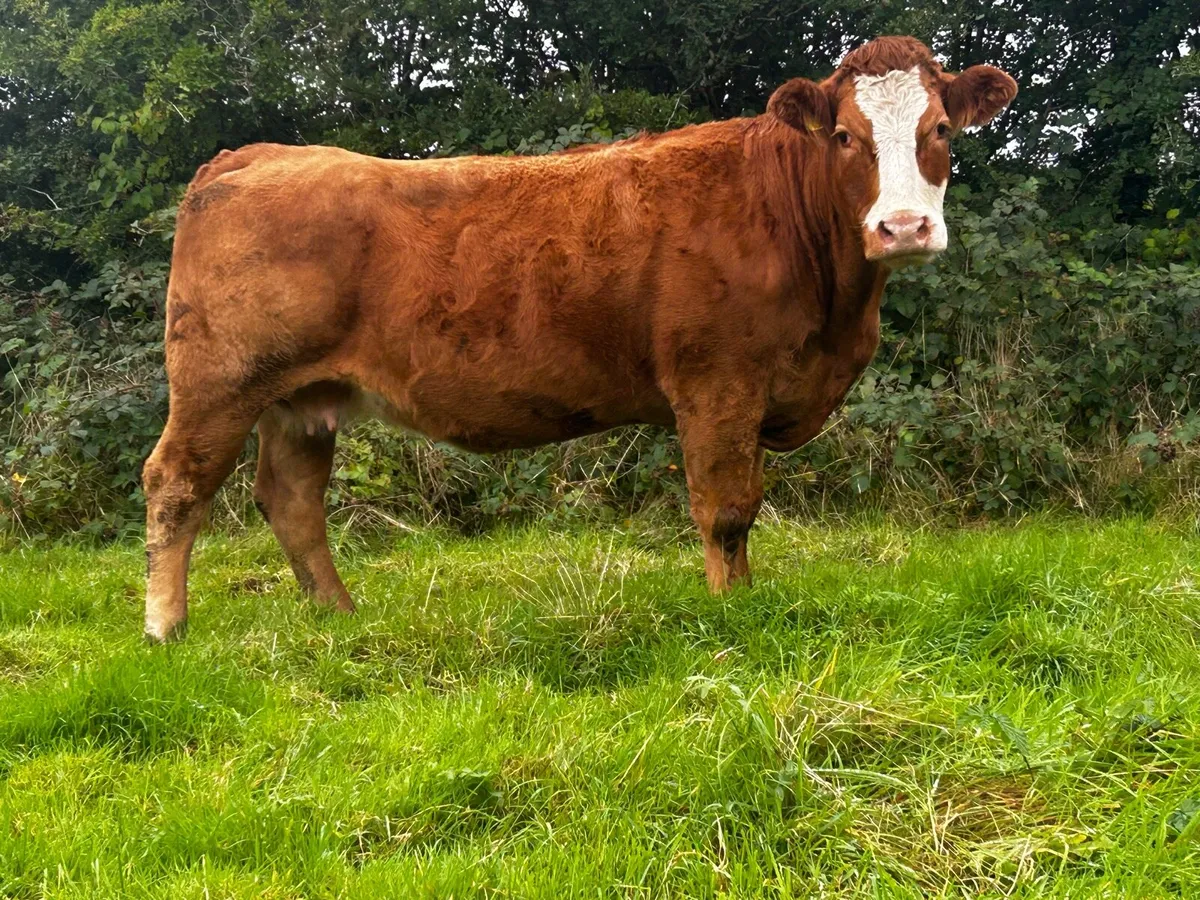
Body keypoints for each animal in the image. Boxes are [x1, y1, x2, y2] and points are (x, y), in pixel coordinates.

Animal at [142, 35, 1016, 640]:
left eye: (942, 129)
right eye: (843, 136)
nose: (902, 227)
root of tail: (256, 153)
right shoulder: (718, 384)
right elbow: (726, 510)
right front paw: (730, 612)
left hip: (302, 398)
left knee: (291, 500)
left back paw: (338, 614)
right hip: (220, 381)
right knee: (176, 484)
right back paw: (165, 628)